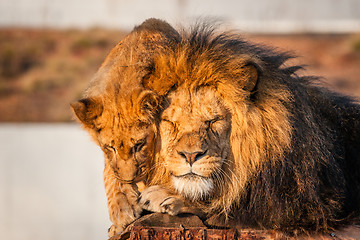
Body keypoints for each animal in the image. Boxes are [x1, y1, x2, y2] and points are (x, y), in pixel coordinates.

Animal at [143, 21, 360, 233]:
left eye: (214, 120)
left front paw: (164, 195)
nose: (190, 156)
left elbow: (229, 203)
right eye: (171, 122)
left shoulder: (311, 203)